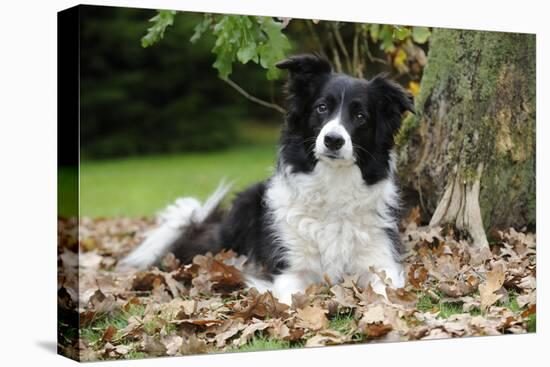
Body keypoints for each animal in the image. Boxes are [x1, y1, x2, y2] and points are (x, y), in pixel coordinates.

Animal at [119, 52, 414, 304]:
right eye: (321, 108)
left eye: (361, 116)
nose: (333, 140)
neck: (333, 187)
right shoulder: (289, 269)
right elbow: (290, 300)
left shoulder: (381, 261)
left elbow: (385, 293)